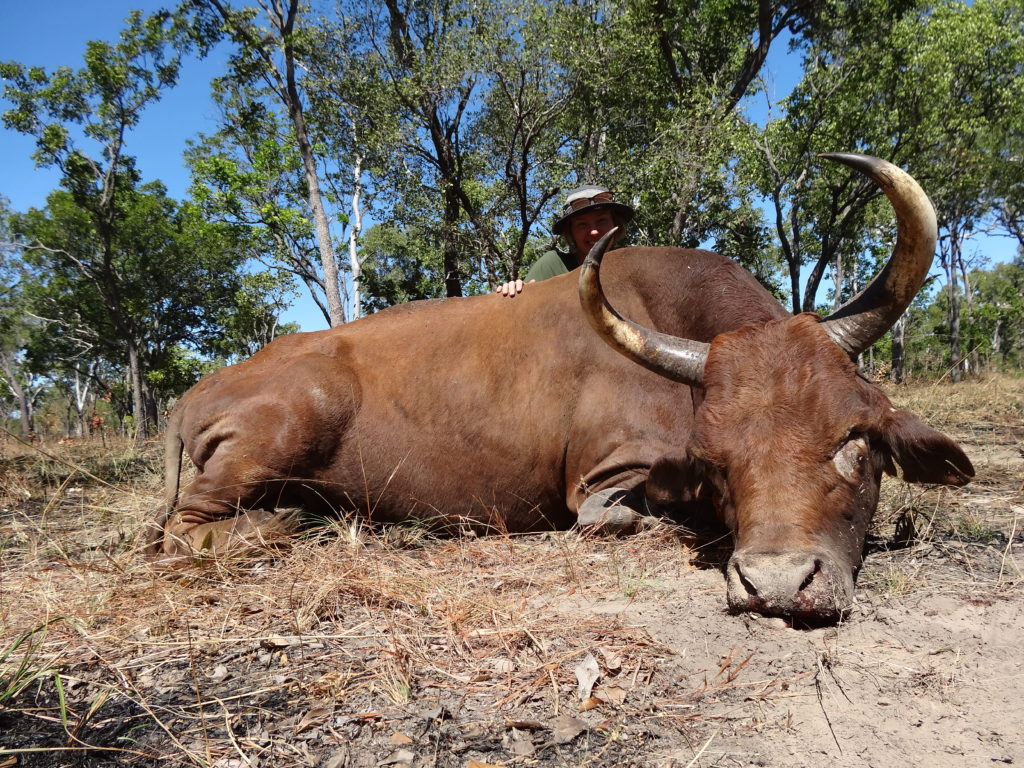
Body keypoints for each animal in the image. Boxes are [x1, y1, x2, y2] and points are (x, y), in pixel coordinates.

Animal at [147, 153, 973, 623]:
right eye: (718, 464)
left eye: (855, 443)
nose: (776, 584)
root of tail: (195, 394)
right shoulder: (603, 483)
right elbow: (616, 519)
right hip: (283, 433)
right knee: (184, 531)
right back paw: (298, 522)